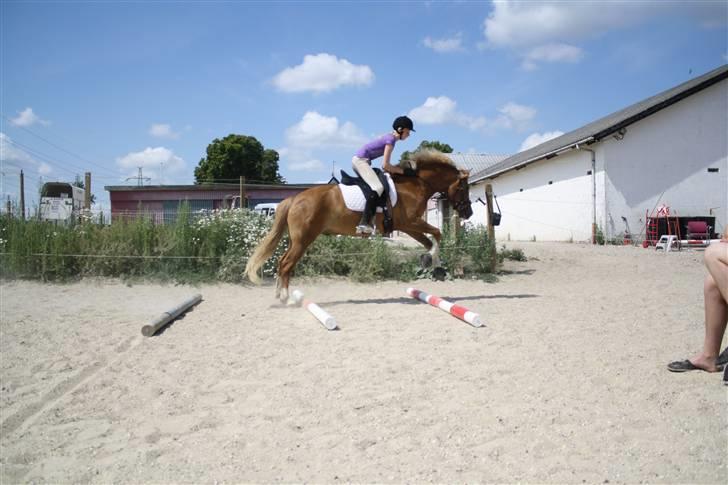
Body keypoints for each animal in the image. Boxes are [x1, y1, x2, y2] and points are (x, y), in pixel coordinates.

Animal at [245, 149, 474, 300]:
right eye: (464, 188)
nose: (468, 212)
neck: (415, 185)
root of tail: (295, 198)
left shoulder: (408, 226)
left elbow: (430, 240)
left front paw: (433, 263)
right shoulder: (411, 222)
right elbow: (437, 233)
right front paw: (433, 261)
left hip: (297, 240)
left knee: (281, 261)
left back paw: (278, 293)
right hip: (303, 240)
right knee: (286, 264)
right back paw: (284, 297)